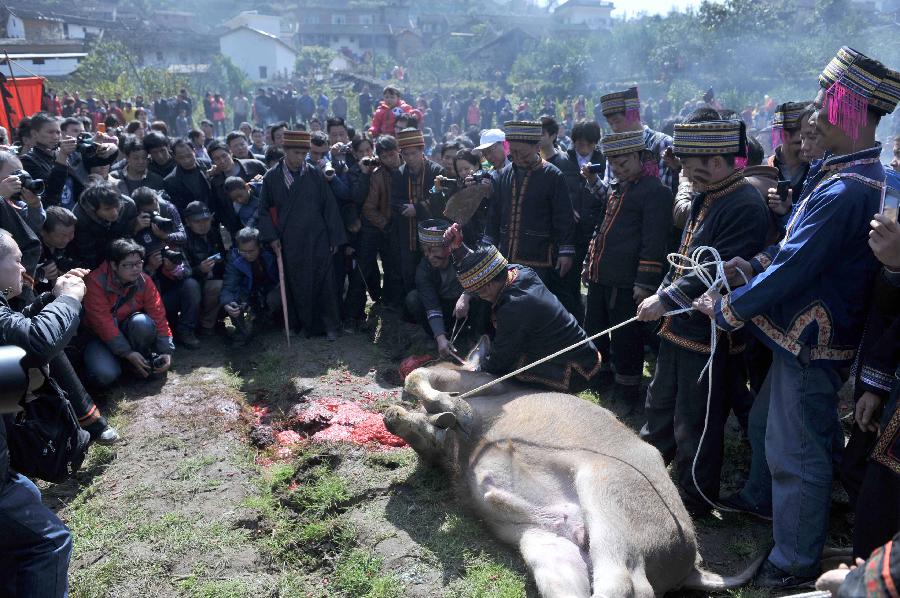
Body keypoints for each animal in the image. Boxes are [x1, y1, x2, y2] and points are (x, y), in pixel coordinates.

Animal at [384, 366, 764, 598]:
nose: (388, 412)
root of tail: (691, 565)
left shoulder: (483, 383)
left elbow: (421, 377)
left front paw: (450, 411)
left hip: (608, 499)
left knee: (626, 584)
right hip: (546, 544)